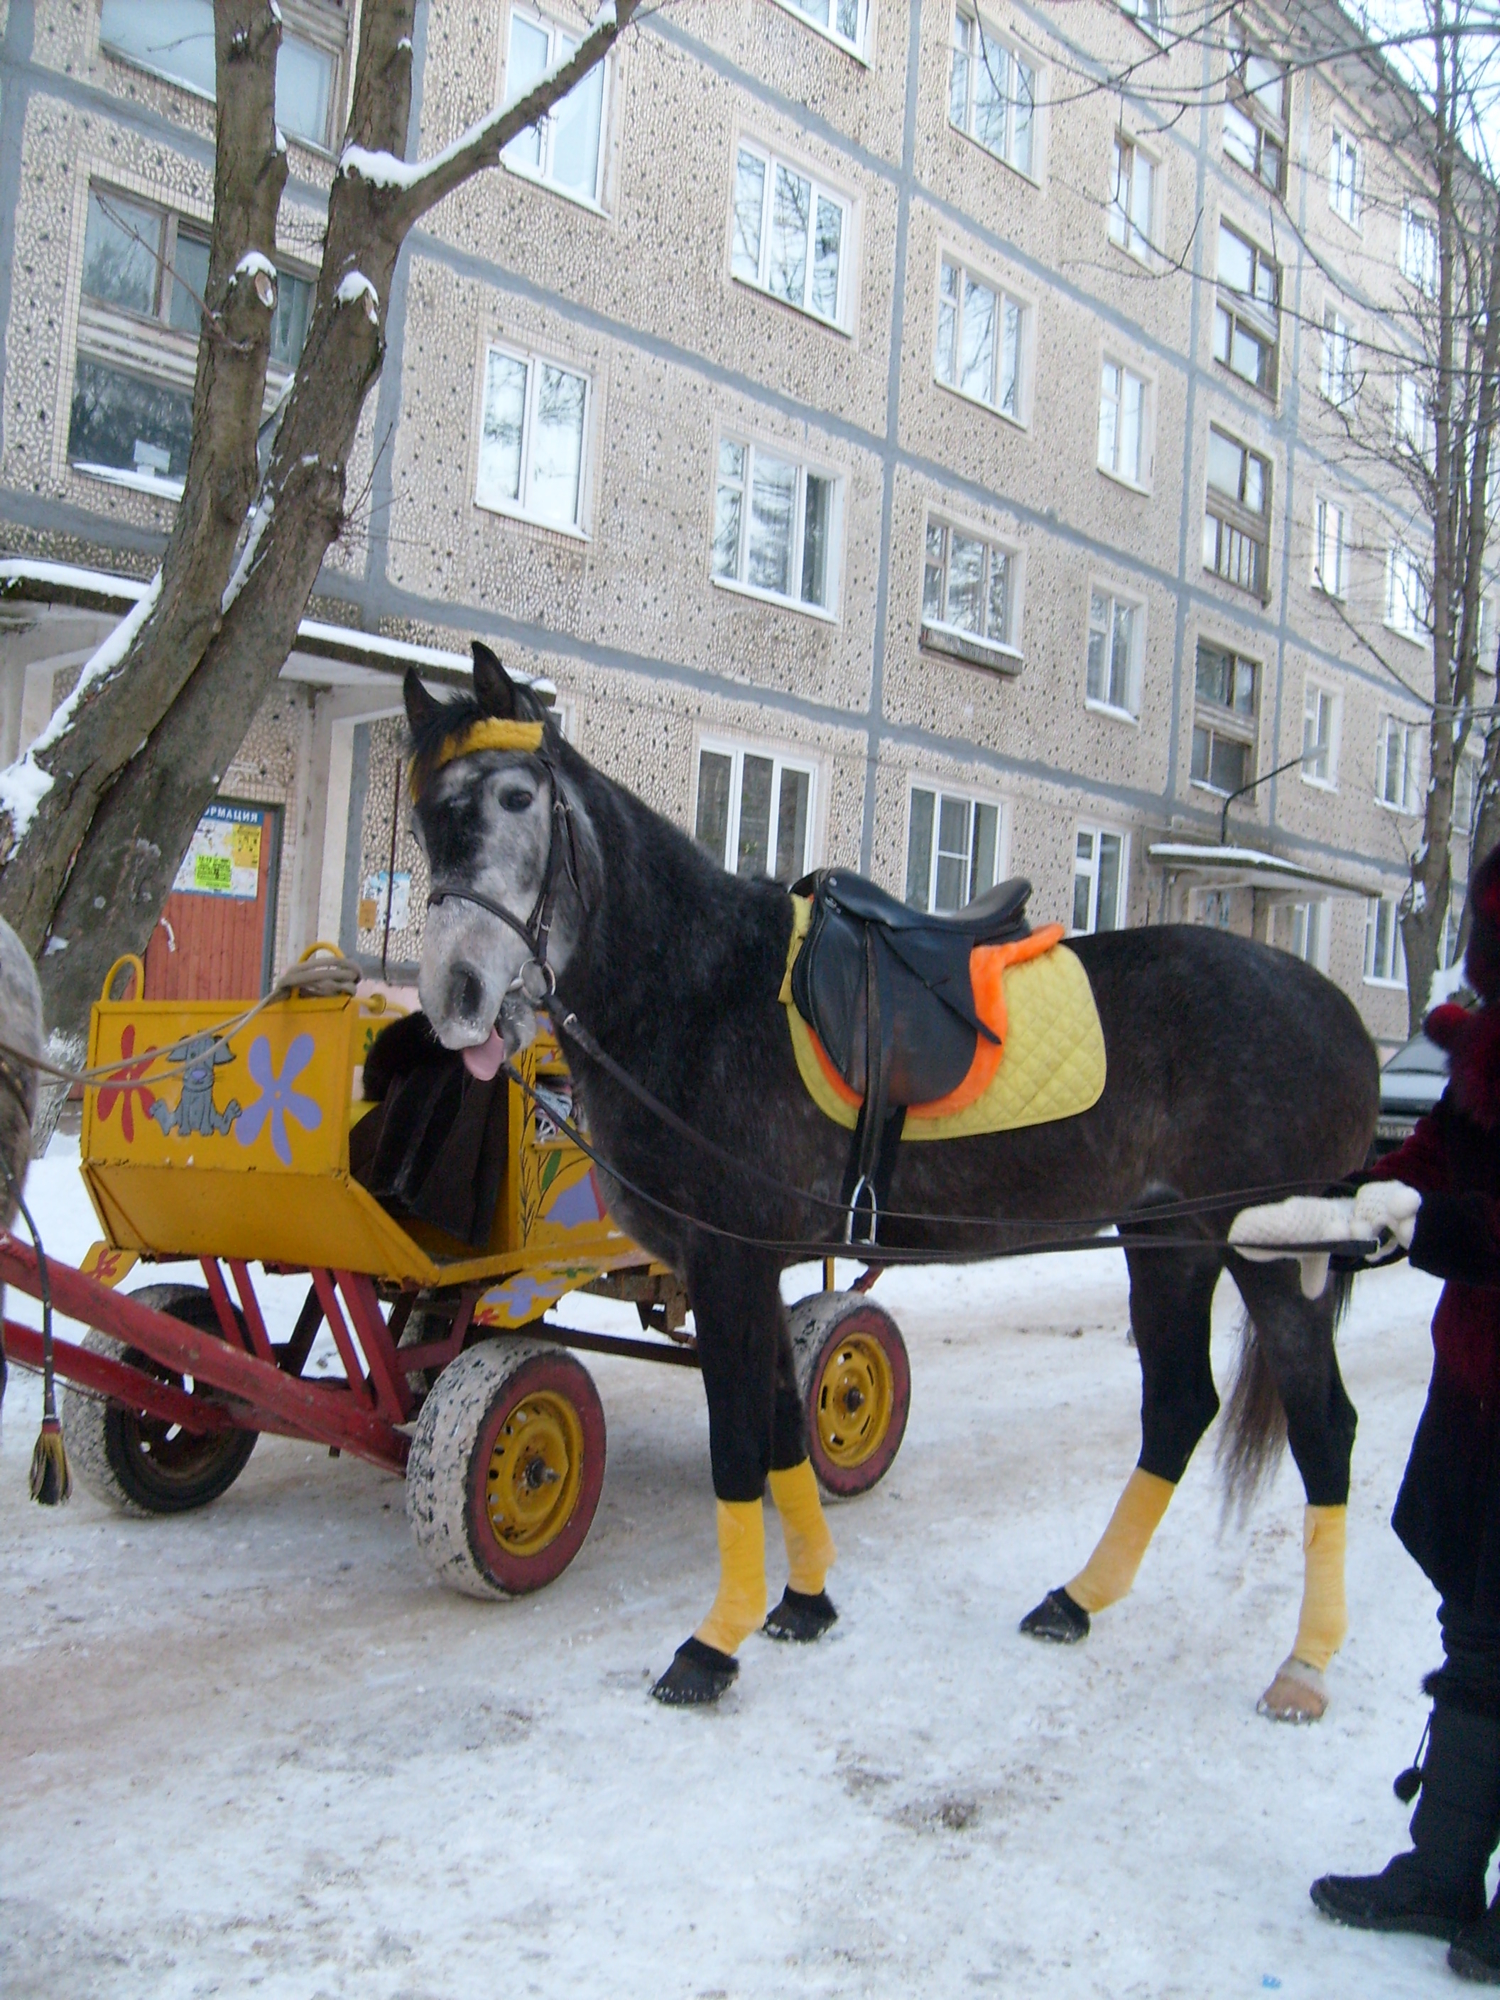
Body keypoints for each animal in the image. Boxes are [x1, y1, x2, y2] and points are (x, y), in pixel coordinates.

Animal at [406, 652, 1384, 1720]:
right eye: (423, 817)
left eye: (515, 797)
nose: (454, 994)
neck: (703, 993)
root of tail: (1337, 1013)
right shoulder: (752, 1268)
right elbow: (785, 1431)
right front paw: (804, 1603)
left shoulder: (729, 1260)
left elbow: (739, 1443)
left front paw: (712, 1646)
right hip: (1170, 1247)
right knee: (1177, 1409)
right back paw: (1076, 1600)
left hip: (1274, 1255)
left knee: (1324, 1429)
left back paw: (1303, 1666)